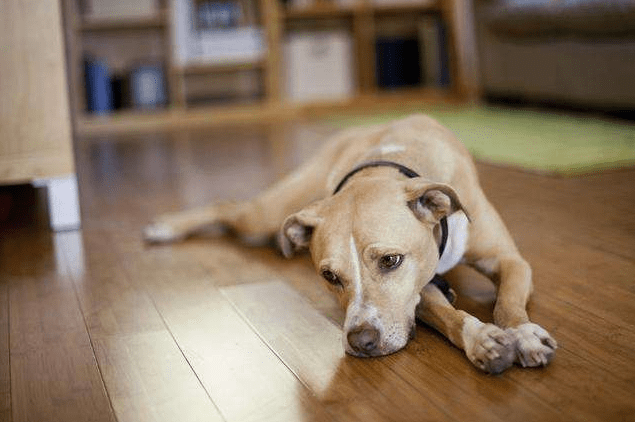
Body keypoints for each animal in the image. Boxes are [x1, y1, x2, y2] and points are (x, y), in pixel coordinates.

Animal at [144, 113, 556, 374]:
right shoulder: (416, 294)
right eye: (329, 276)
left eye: (390, 260)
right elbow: (448, 315)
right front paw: (482, 339)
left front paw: (523, 334)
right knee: (228, 206)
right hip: (268, 213)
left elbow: (508, 302)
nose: (361, 341)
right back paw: (164, 227)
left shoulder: (508, 259)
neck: (388, 164)